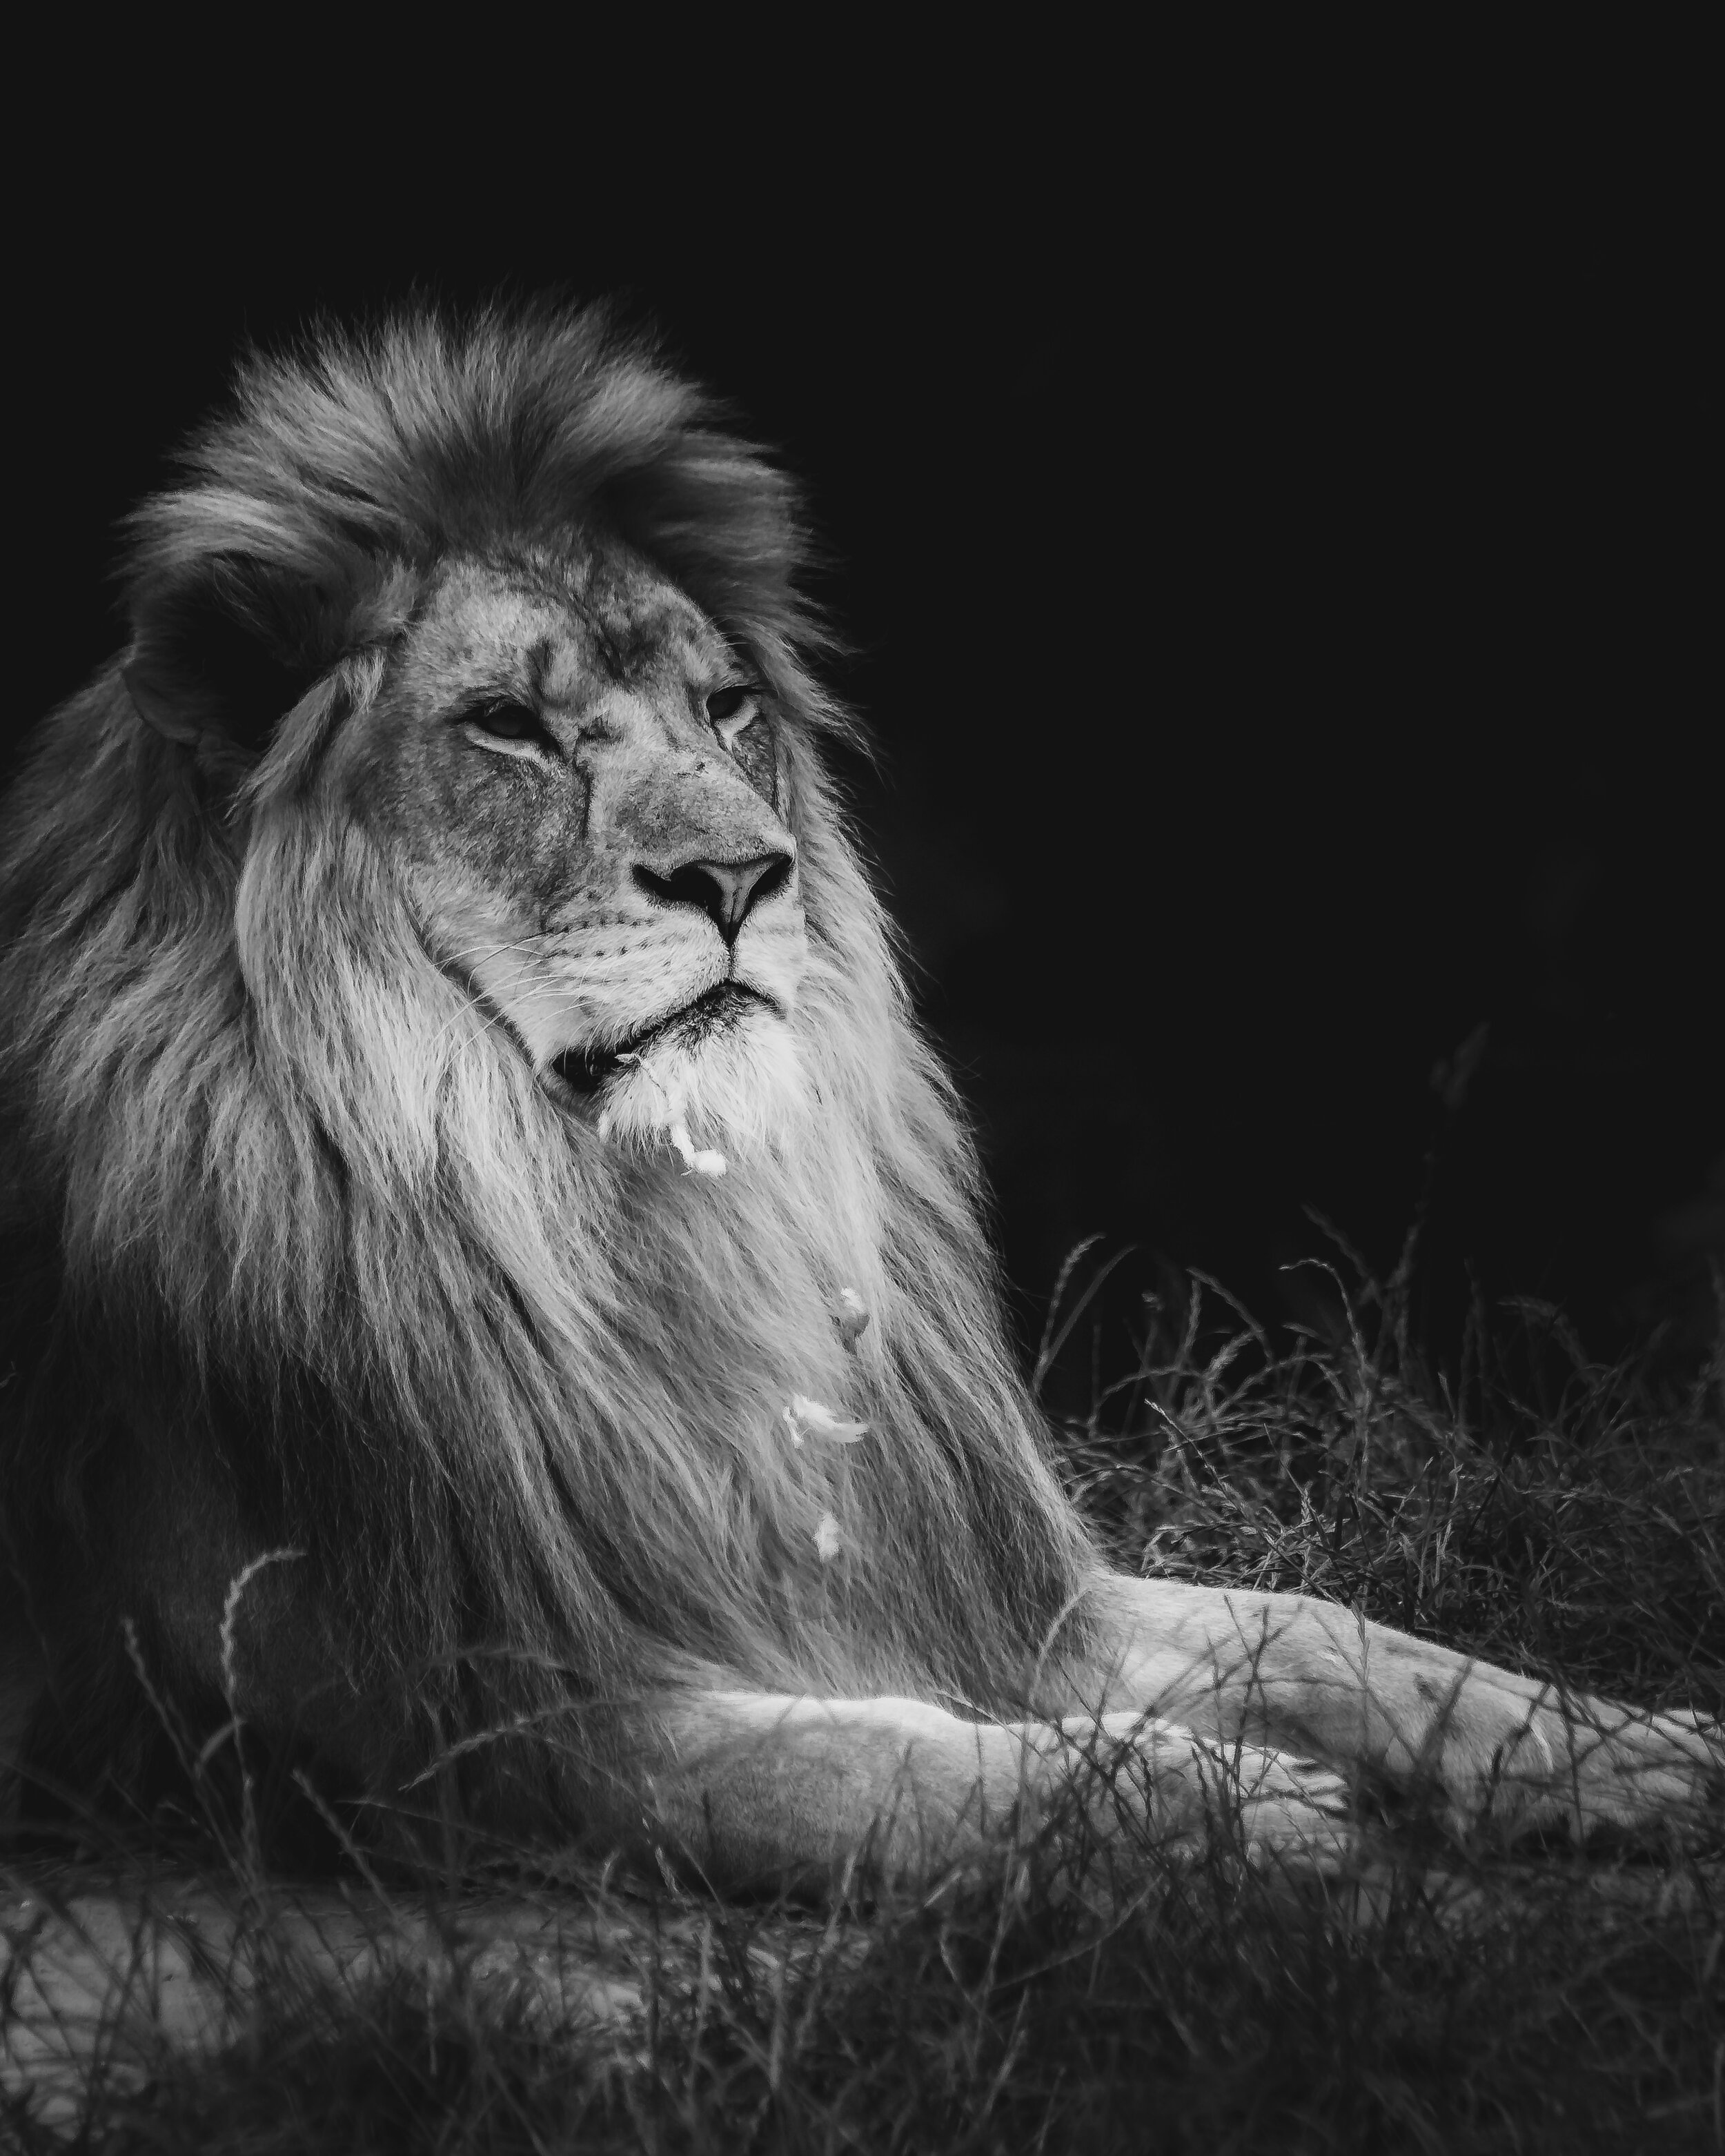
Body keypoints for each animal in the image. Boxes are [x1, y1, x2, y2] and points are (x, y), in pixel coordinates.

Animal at [0, 301, 1715, 1897]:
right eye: (507, 725)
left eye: (726, 708)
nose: (741, 874)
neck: (617, 1223)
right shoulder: (456, 1731)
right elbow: (865, 1759)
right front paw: (1221, 1797)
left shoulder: (977, 1580)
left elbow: (1327, 1629)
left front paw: (1632, 1745)